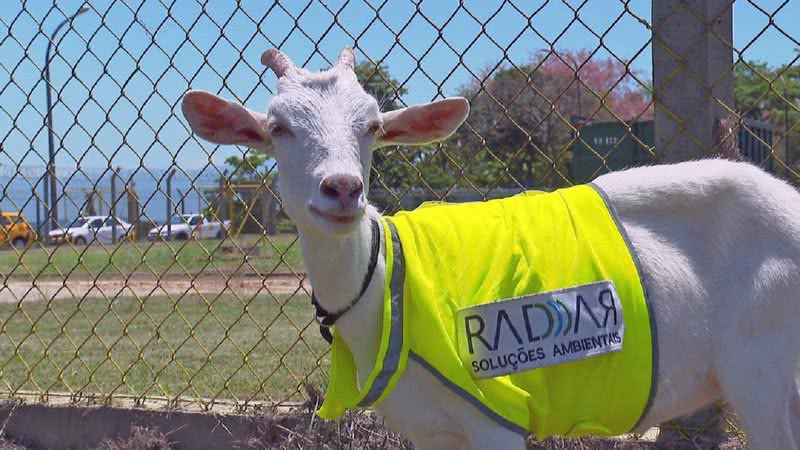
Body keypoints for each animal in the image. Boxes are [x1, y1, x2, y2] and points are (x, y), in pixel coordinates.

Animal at [183, 47, 800, 448]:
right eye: (277, 127)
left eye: (373, 126)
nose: (342, 188)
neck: (389, 284)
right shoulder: (432, 431)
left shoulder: (496, 412)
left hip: (766, 373)